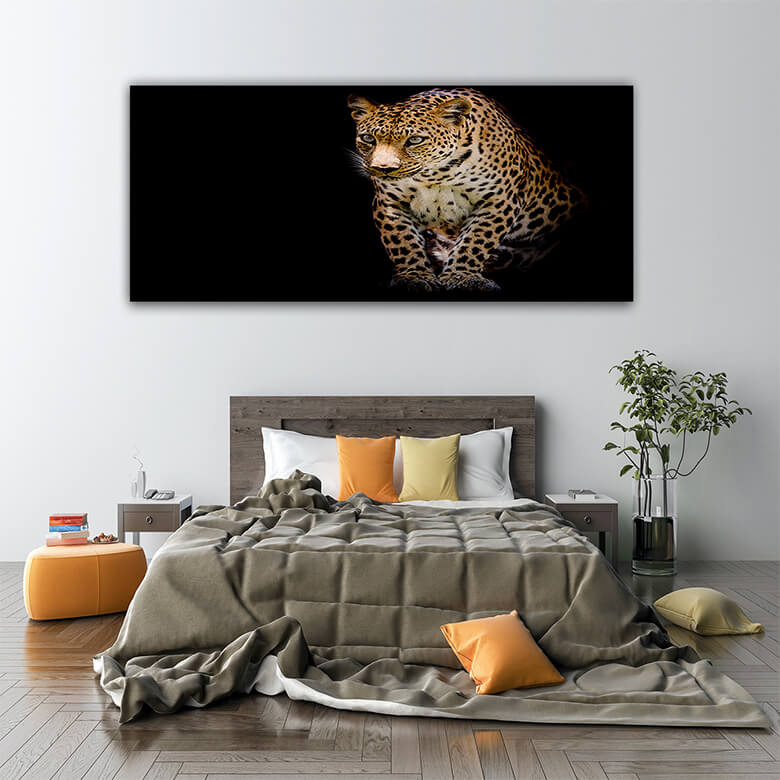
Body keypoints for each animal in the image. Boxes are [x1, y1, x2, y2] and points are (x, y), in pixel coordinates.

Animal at [348, 88, 587, 294]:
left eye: (415, 140)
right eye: (368, 138)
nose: (382, 168)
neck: (435, 175)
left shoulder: (499, 200)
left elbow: (475, 241)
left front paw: (461, 276)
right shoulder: (390, 203)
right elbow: (402, 243)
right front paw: (414, 277)